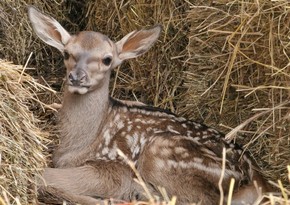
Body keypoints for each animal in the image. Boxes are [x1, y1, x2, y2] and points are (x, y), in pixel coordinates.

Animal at [28, 6, 270, 205]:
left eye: (107, 59)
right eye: (66, 53)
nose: (77, 77)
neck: (81, 142)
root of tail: (259, 179)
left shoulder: (113, 166)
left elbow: (43, 175)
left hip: (162, 151)